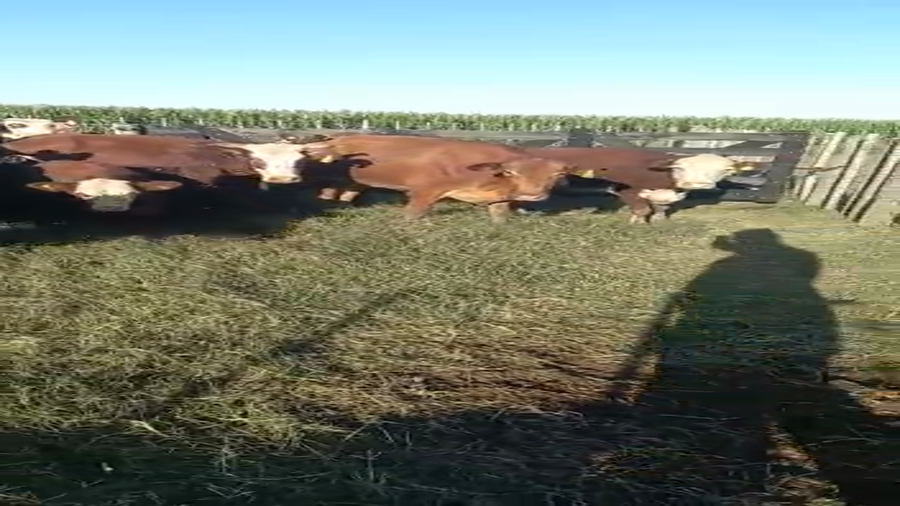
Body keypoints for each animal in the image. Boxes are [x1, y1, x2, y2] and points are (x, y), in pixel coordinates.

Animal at [291, 134, 573, 222]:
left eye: (556, 175)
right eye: (512, 172)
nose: (532, 195)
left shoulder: (498, 198)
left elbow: (501, 216)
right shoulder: (425, 190)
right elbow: (414, 215)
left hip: (355, 181)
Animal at [519, 147, 763, 224]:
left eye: (726, 170)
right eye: (681, 168)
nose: (697, 183)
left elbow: (662, 209)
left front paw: (659, 220)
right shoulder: (629, 191)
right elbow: (641, 209)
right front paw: (636, 223)